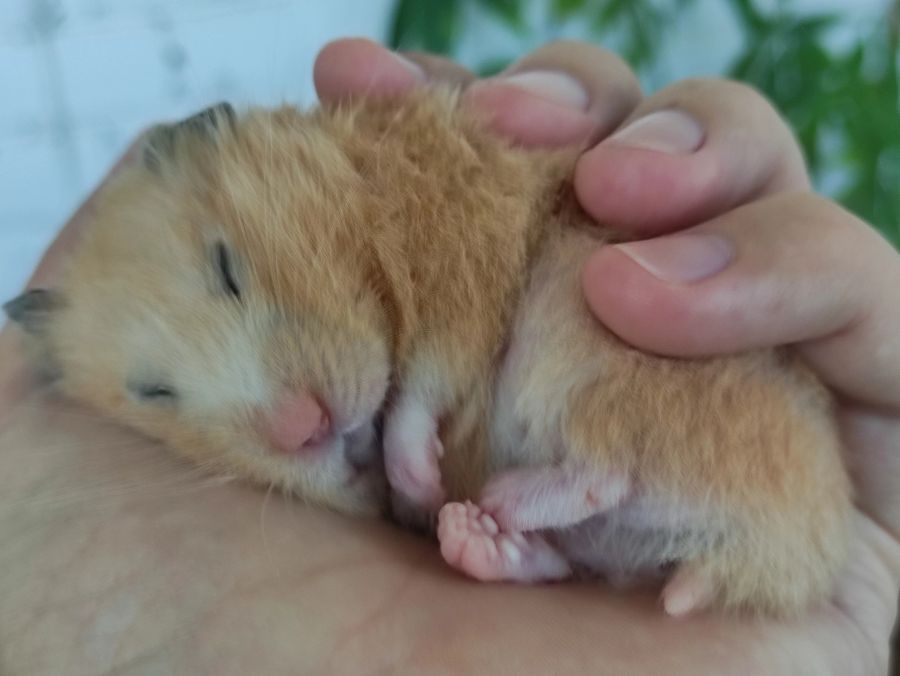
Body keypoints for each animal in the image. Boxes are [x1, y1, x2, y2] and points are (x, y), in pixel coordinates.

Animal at [3, 87, 852, 616]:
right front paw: (405, 485)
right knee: (583, 542)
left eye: (227, 267)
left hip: (583, 334)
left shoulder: (464, 257)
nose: (305, 429)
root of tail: (802, 544)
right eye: (155, 395)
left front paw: (414, 470)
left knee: (608, 465)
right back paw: (480, 534)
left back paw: (496, 499)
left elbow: (424, 382)